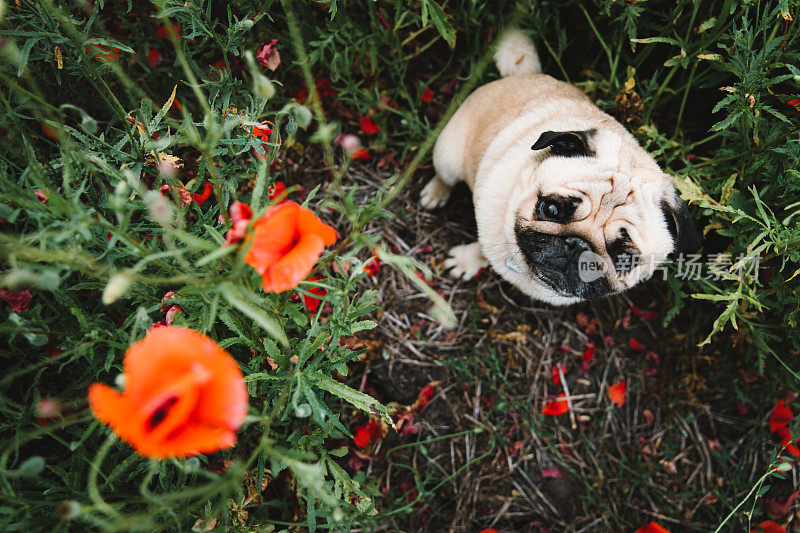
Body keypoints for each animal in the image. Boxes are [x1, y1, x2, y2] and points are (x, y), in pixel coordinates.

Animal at [422, 29, 696, 304]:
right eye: (551, 209)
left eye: (624, 259)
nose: (578, 246)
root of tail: (524, 76)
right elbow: (482, 247)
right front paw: (466, 260)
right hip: (448, 155)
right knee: (445, 176)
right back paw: (435, 193)